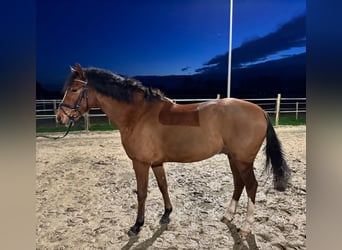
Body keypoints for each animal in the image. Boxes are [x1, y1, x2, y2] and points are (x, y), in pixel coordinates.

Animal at [56, 63, 292, 237]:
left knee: (251, 186)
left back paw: (246, 226)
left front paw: (137, 225)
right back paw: (228, 215)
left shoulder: (140, 163)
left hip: (243, 160)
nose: (60, 118)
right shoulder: (156, 162)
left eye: (75, 89)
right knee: (238, 184)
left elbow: (142, 193)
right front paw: (166, 214)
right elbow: (163, 186)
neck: (138, 114)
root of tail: (260, 110)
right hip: (234, 159)